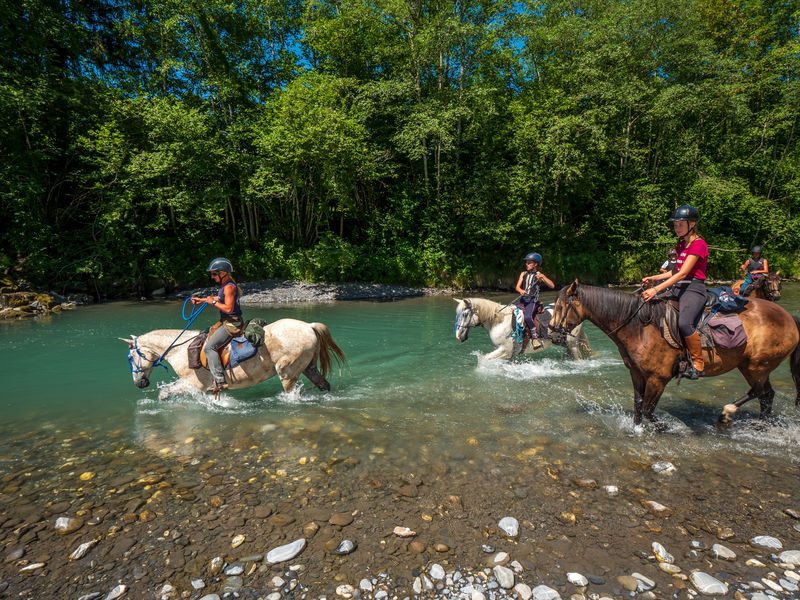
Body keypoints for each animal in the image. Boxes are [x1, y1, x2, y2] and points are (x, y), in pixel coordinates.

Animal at [121, 318, 344, 398]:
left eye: (130, 357)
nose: (139, 383)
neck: (181, 350)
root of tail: (308, 326)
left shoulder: (193, 384)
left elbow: (164, 394)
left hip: (288, 373)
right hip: (308, 367)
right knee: (323, 384)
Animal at [454, 296, 592, 360]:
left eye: (465, 314)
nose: (458, 336)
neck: (499, 321)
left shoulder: (505, 350)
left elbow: (483, 360)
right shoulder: (507, 353)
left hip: (572, 344)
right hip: (564, 343)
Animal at [552, 282, 800, 426]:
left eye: (562, 306)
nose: (553, 334)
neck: (639, 327)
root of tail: (789, 317)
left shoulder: (658, 378)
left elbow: (648, 410)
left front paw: (661, 427)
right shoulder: (637, 374)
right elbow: (638, 408)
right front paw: (637, 429)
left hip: (756, 366)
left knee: (761, 392)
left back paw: (728, 414)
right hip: (753, 367)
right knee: (766, 395)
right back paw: (757, 423)